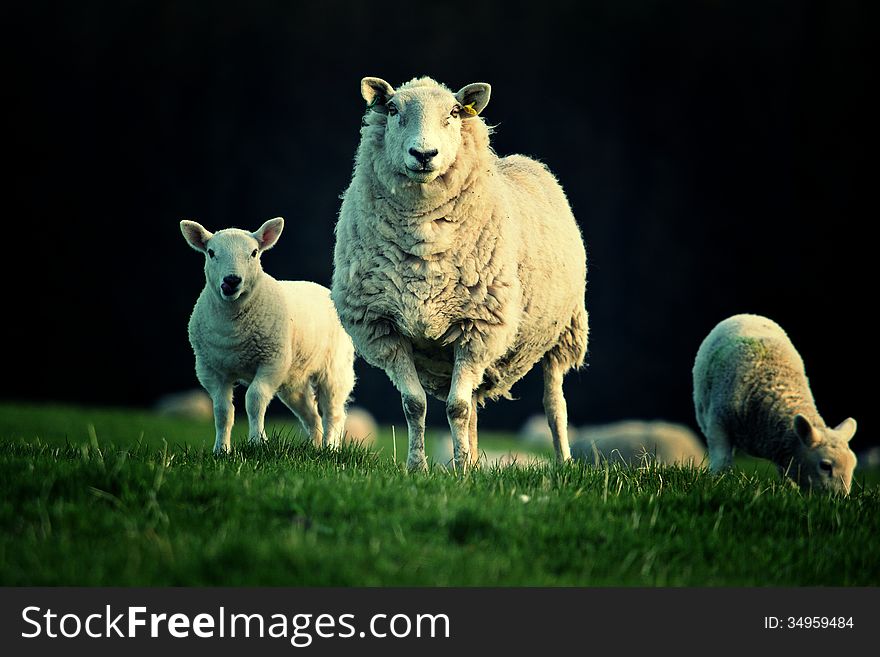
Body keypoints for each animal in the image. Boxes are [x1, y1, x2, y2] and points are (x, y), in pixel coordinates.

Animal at [180, 218, 356, 454]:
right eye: (211, 252)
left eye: (254, 253)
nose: (232, 280)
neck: (233, 329)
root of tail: (323, 289)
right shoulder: (210, 370)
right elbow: (222, 411)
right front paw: (221, 450)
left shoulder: (272, 362)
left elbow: (254, 400)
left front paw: (257, 441)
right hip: (293, 380)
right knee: (311, 416)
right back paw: (316, 448)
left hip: (335, 368)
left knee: (333, 412)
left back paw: (330, 448)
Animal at [334, 75, 588, 472]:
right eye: (391, 109)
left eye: (454, 112)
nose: (424, 155)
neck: (423, 240)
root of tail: (527, 161)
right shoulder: (385, 329)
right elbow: (416, 405)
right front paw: (420, 467)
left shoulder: (479, 326)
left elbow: (456, 406)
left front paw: (463, 471)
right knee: (473, 409)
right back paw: (468, 460)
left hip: (563, 331)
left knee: (554, 405)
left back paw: (562, 462)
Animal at [692, 312, 856, 492]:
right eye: (825, 466)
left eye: (853, 466)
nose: (840, 497)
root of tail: (749, 315)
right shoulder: (718, 423)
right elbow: (721, 460)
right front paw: (718, 481)